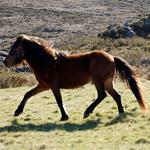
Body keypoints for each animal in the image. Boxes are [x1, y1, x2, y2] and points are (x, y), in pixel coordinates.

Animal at [3, 34, 148, 120]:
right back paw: (121, 113)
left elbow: (59, 101)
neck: (47, 62)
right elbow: (27, 94)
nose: (5, 62)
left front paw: (64, 116)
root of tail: (112, 57)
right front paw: (17, 111)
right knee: (116, 96)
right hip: (107, 82)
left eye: (15, 47)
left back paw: (87, 111)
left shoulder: (53, 86)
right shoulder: (43, 86)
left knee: (102, 95)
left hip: (98, 80)